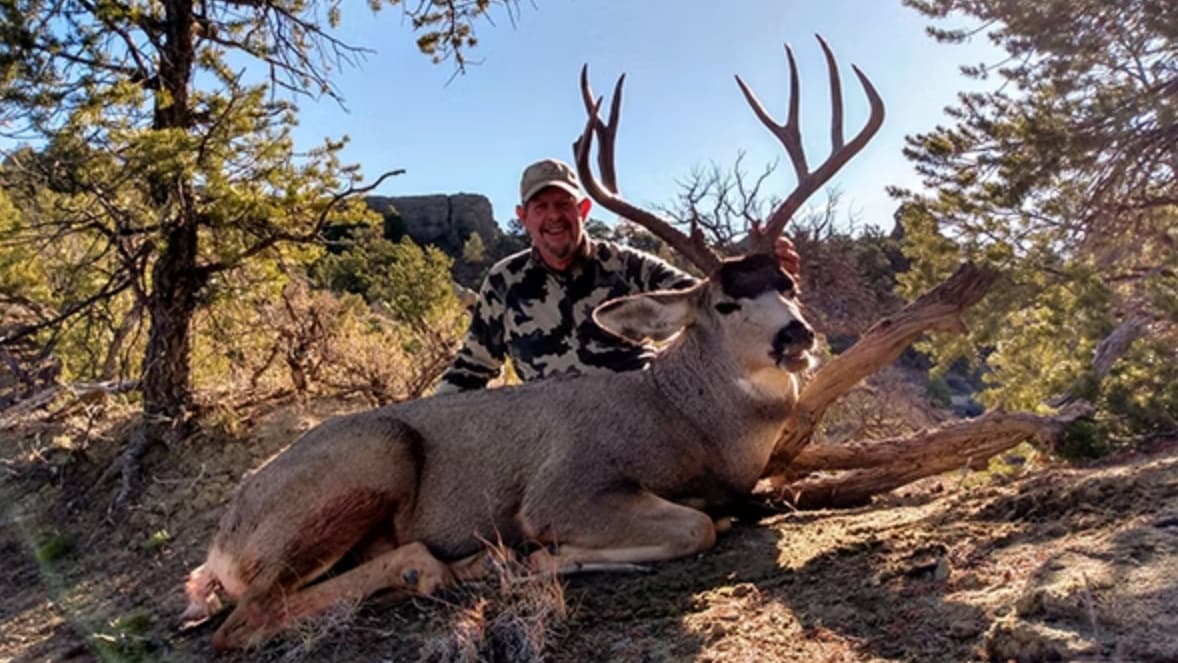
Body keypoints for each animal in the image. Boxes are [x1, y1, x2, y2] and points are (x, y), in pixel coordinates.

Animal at [180, 36, 884, 651]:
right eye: (725, 303)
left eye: (788, 283)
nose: (797, 335)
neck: (684, 422)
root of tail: (219, 548)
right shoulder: (564, 488)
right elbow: (696, 527)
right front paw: (543, 556)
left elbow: (718, 515)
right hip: (369, 460)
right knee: (244, 620)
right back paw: (454, 566)